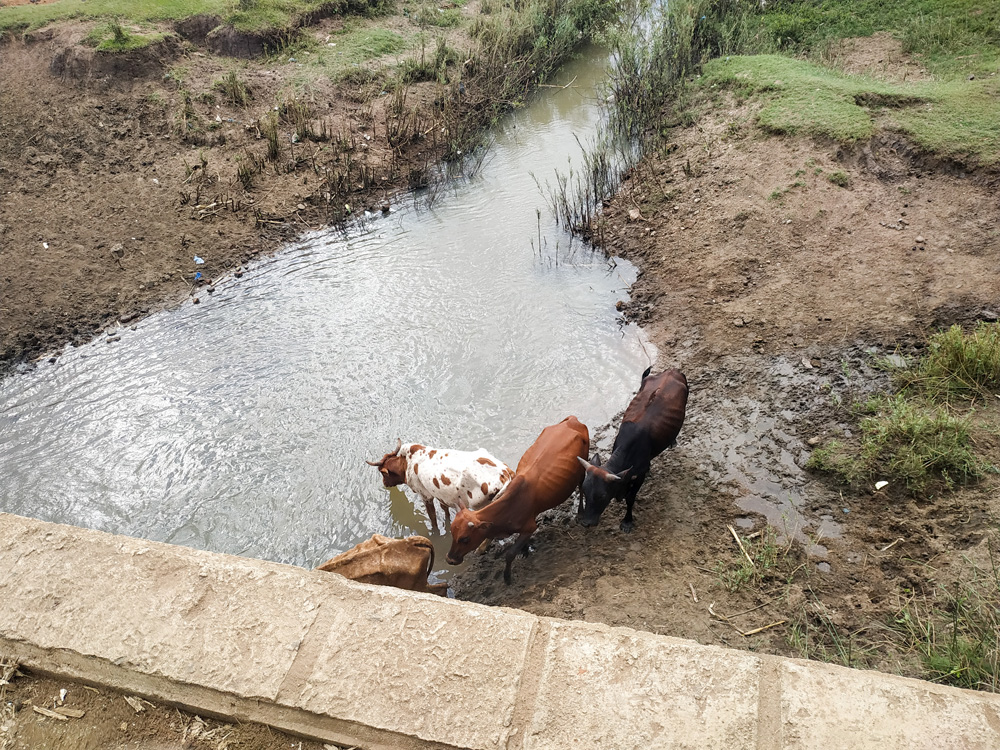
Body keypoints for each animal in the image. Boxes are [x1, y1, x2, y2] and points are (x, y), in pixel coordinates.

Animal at [366, 439, 515, 534]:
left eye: (382, 472)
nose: (384, 483)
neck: (406, 464)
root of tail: (506, 473)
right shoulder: (443, 496)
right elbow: (445, 510)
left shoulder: (426, 495)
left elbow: (432, 518)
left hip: (481, 506)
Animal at [446, 416, 589, 584]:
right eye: (452, 533)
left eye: (465, 539)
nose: (449, 560)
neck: (509, 508)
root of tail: (572, 420)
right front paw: (526, 551)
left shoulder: (530, 527)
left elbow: (510, 553)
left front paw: (507, 577)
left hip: (582, 467)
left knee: (582, 487)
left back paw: (581, 511)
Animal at [577, 367, 688, 533]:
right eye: (584, 491)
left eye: (602, 496)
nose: (586, 523)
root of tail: (672, 371)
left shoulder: (639, 475)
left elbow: (630, 499)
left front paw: (627, 521)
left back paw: (673, 441)